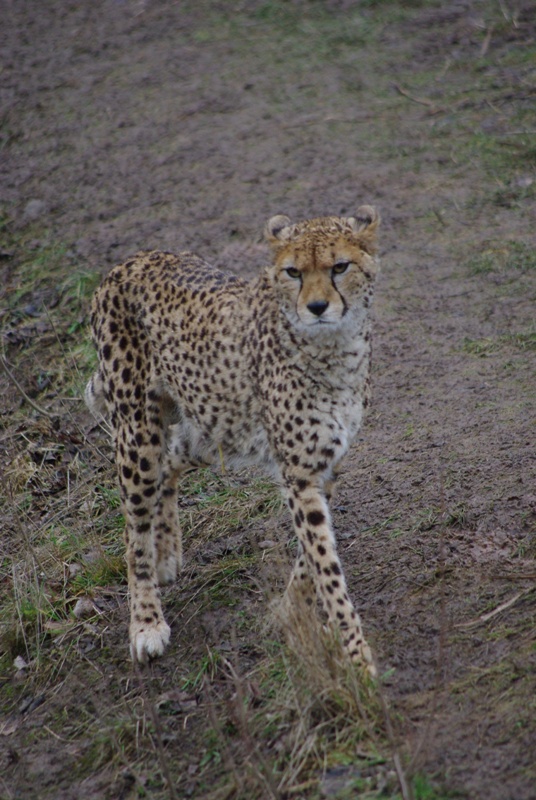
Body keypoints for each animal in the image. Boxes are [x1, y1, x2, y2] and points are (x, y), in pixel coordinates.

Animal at [85, 206, 381, 676]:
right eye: (293, 272)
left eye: (339, 267)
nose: (317, 307)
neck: (333, 347)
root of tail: (130, 261)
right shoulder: (300, 473)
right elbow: (325, 565)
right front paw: (356, 657)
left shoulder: (324, 466)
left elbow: (310, 556)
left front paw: (289, 610)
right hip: (137, 433)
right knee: (134, 524)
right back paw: (146, 619)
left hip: (212, 425)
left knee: (170, 462)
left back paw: (166, 551)